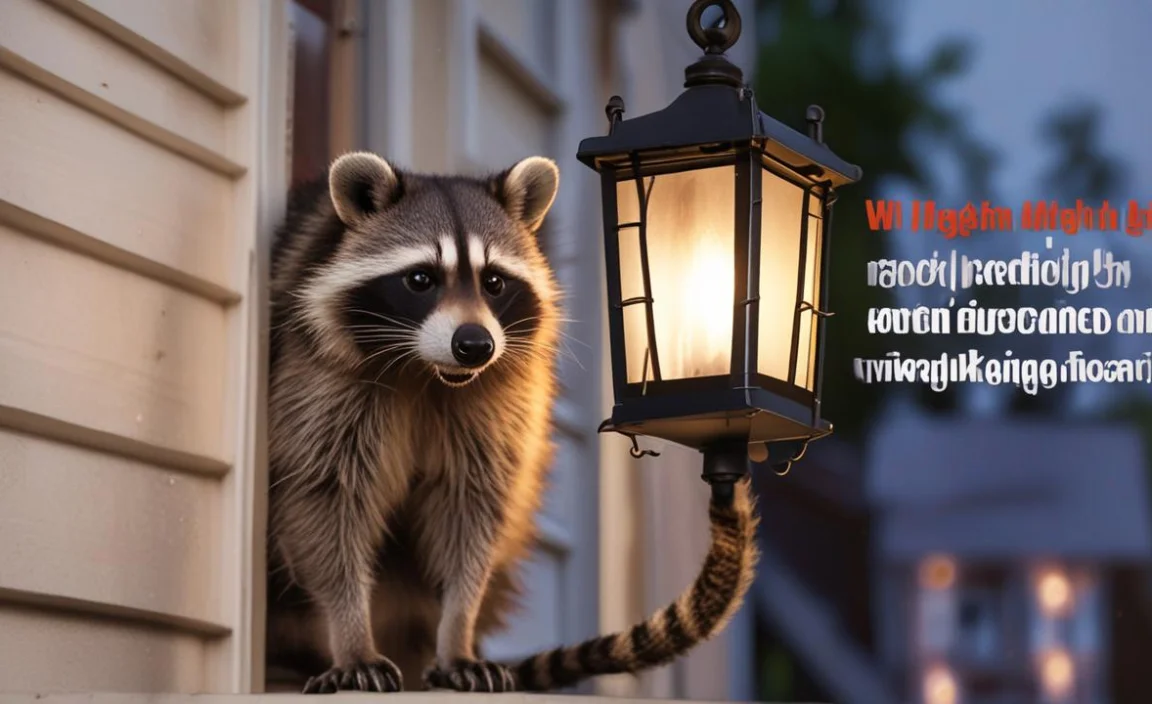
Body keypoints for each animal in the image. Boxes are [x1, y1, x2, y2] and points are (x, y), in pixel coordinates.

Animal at [265, 150, 760, 694]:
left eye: (494, 282)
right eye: (420, 279)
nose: (474, 345)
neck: (427, 372)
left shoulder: (498, 407)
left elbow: (472, 515)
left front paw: (457, 632)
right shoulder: (319, 383)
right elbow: (327, 502)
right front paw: (351, 635)